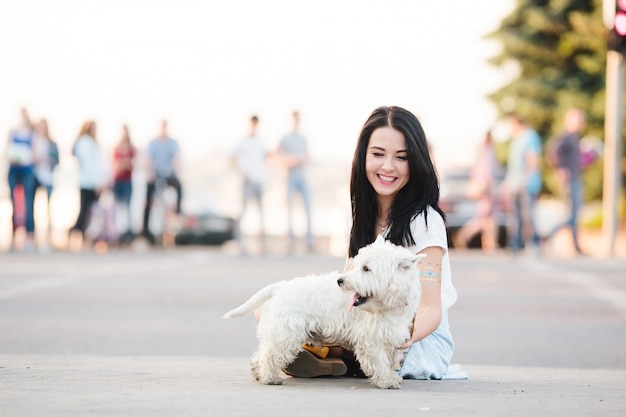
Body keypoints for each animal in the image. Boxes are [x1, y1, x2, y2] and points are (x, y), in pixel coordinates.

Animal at [222, 236, 422, 388]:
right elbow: (379, 361)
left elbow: (389, 360)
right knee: (270, 355)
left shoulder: (391, 337)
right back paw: (269, 378)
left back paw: (258, 373)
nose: (340, 281)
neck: (387, 306)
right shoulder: (371, 339)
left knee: (262, 353)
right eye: (357, 265)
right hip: (286, 334)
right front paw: (386, 381)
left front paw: (392, 377)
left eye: (366, 268)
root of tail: (281, 286)